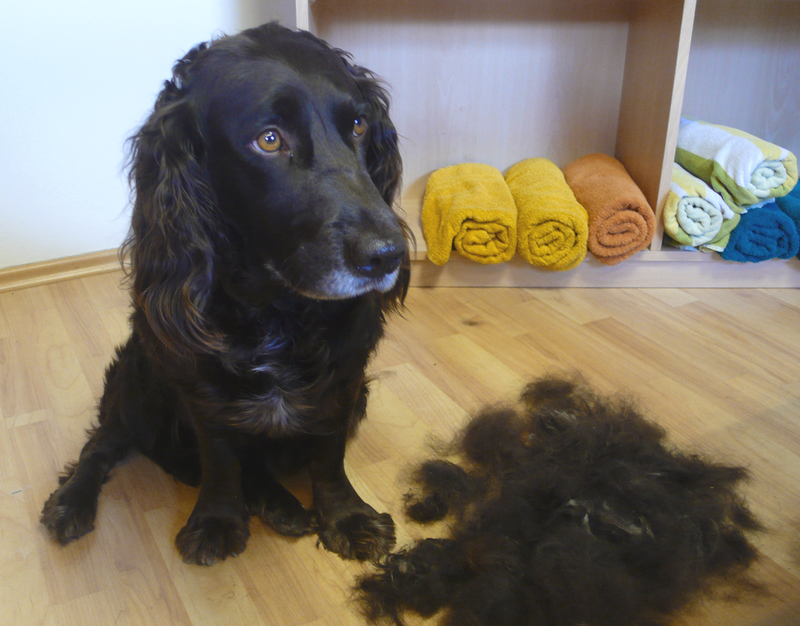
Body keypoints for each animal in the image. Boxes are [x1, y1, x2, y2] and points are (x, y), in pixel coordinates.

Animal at [40, 22, 410, 564]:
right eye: (269, 140)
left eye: (360, 126)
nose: (387, 256)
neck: (276, 308)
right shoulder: (197, 383)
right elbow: (218, 457)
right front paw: (216, 519)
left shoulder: (345, 376)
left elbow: (328, 455)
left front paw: (347, 517)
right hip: (138, 374)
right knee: (104, 442)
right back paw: (71, 502)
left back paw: (280, 504)